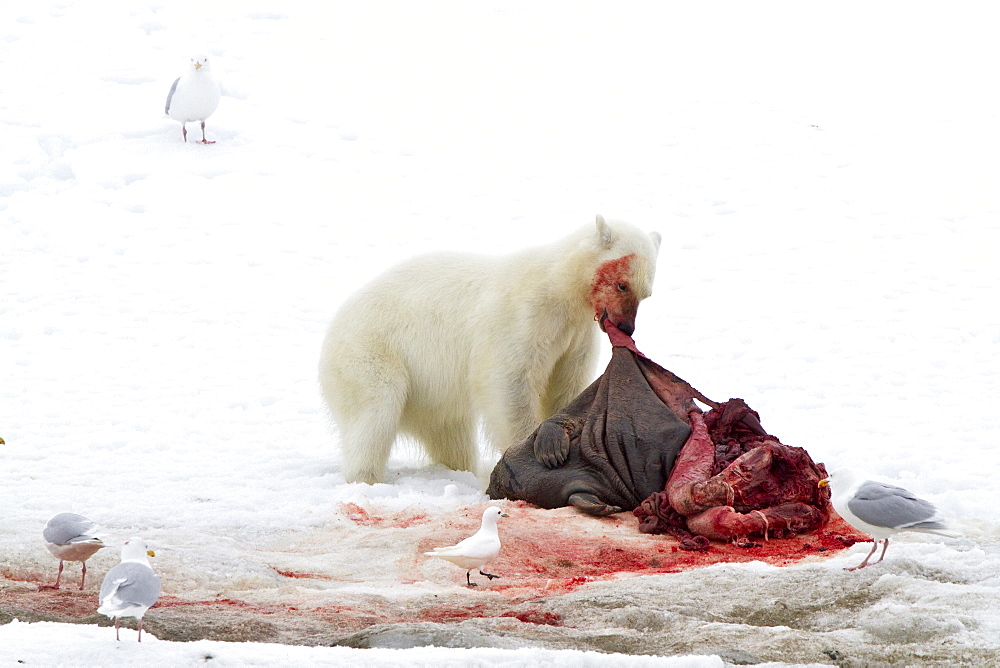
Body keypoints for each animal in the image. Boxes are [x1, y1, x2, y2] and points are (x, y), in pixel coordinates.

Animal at [322, 217, 664, 482]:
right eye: (622, 284)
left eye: (645, 294)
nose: (626, 328)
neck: (559, 289)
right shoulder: (522, 317)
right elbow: (509, 380)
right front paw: (531, 449)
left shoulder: (575, 335)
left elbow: (565, 383)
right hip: (372, 354)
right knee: (374, 415)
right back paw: (366, 477)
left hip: (430, 392)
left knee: (449, 431)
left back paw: (463, 469)